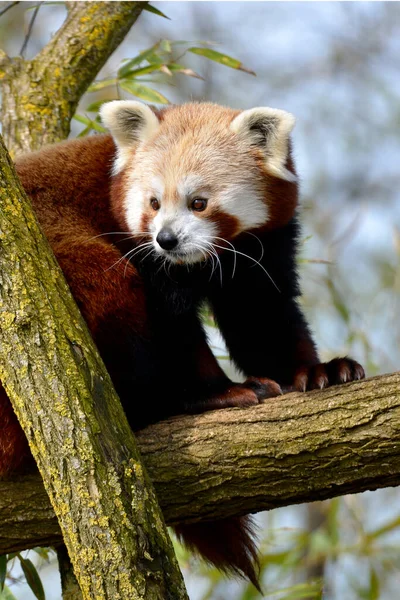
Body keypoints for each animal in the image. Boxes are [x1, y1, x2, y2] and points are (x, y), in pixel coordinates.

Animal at [0, 102, 364, 592]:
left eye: (198, 202)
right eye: (154, 203)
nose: (166, 239)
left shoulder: (261, 245)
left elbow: (263, 315)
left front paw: (318, 372)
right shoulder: (142, 257)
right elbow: (175, 329)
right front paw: (217, 391)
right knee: (105, 287)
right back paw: (168, 403)